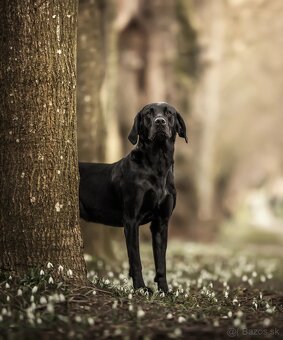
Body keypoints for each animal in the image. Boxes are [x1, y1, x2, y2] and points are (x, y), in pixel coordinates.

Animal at [79, 101, 189, 292]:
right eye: (148, 114)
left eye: (169, 113)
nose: (160, 122)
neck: (157, 165)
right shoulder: (131, 220)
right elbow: (135, 259)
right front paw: (140, 288)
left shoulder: (161, 222)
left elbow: (161, 261)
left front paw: (164, 290)